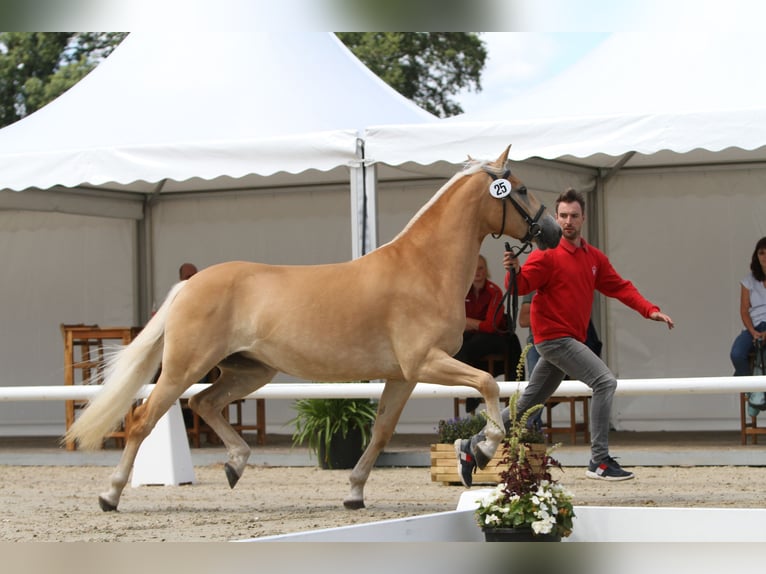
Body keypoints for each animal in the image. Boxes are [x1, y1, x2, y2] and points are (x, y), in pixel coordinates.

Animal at [66, 147, 560, 512]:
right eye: (521, 187)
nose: (553, 231)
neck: (422, 268)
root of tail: (191, 283)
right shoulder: (426, 362)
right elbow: (488, 383)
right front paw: (480, 450)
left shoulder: (403, 375)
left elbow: (382, 431)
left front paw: (355, 492)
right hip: (183, 368)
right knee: (143, 420)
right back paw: (110, 495)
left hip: (249, 370)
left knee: (204, 403)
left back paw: (235, 465)